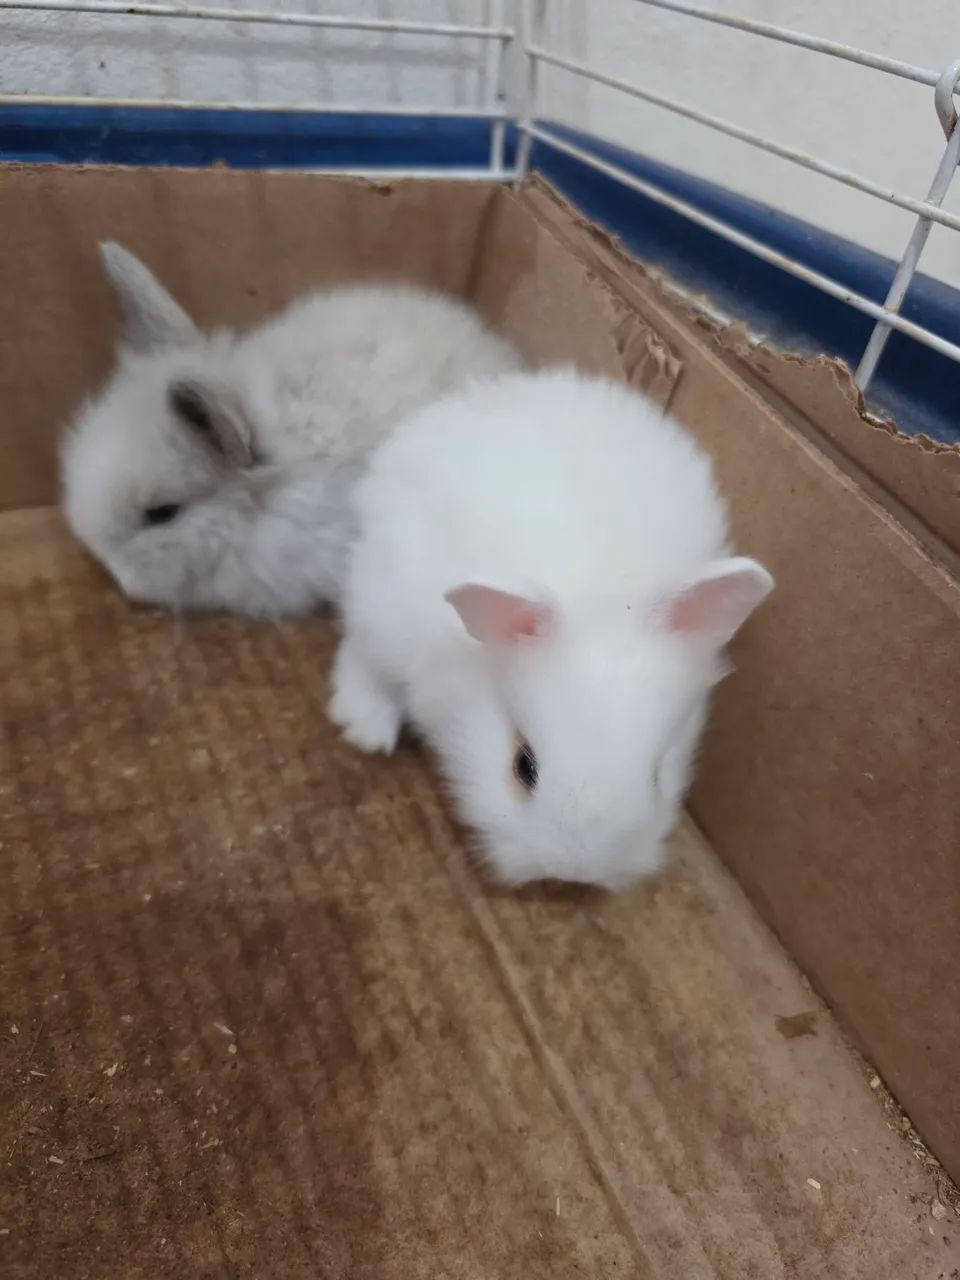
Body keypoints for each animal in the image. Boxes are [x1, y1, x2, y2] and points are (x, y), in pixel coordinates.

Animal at [329, 366, 773, 890]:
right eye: (523, 767)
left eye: (655, 777)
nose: (573, 871)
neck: (602, 593)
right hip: (378, 602)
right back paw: (367, 729)